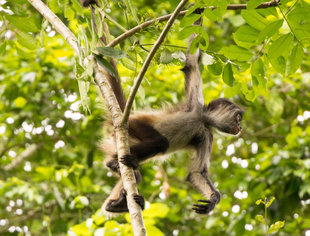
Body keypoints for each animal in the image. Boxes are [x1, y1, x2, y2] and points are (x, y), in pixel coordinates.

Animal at [81, 0, 245, 216]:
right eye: (238, 117)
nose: (240, 127)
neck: (201, 120)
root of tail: (124, 116)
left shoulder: (206, 135)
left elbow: (196, 173)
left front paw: (213, 200)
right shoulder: (195, 103)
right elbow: (192, 62)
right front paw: (198, 12)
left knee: (137, 172)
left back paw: (116, 202)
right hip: (135, 124)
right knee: (160, 142)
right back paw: (116, 164)